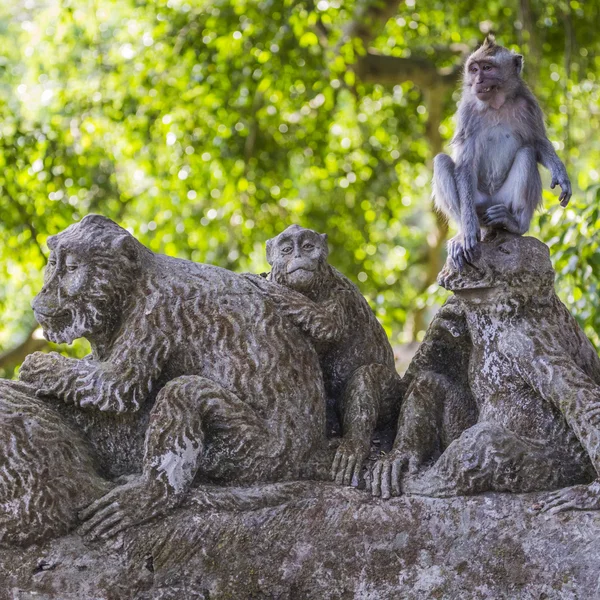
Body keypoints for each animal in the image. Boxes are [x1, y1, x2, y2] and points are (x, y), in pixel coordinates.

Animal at [434, 36, 568, 268]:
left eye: (487, 68)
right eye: (474, 69)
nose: (477, 81)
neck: (496, 104)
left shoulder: (529, 104)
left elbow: (537, 142)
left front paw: (560, 173)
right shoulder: (467, 112)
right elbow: (465, 164)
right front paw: (467, 230)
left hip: (503, 200)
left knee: (526, 153)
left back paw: (514, 224)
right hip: (478, 204)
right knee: (441, 161)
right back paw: (463, 234)